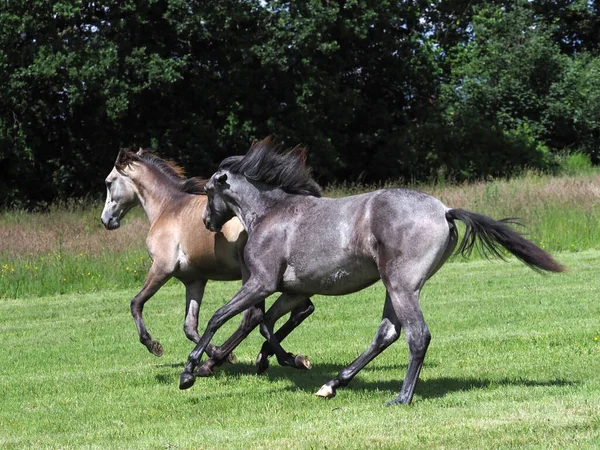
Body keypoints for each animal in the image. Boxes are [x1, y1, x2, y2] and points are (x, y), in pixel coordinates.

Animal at [101, 149, 314, 372]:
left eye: (109, 182)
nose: (106, 220)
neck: (168, 207)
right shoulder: (194, 281)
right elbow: (189, 327)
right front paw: (222, 355)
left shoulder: (162, 268)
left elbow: (136, 303)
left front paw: (153, 345)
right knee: (299, 310)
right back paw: (276, 356)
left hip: (255, 277)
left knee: (253, 317)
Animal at [180, 139, 564, 406]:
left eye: (209, 190)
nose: (207, 222)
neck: (272, 213)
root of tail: (444, 211)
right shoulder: (291, 290)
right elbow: (265, 324)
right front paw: (288, 359)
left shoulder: (261, 283)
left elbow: (219, 317)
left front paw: (190, 372)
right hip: (396, 287)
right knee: (387, 334)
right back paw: (332, 385)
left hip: (401, 286)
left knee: (416, 336)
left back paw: (402, 398)